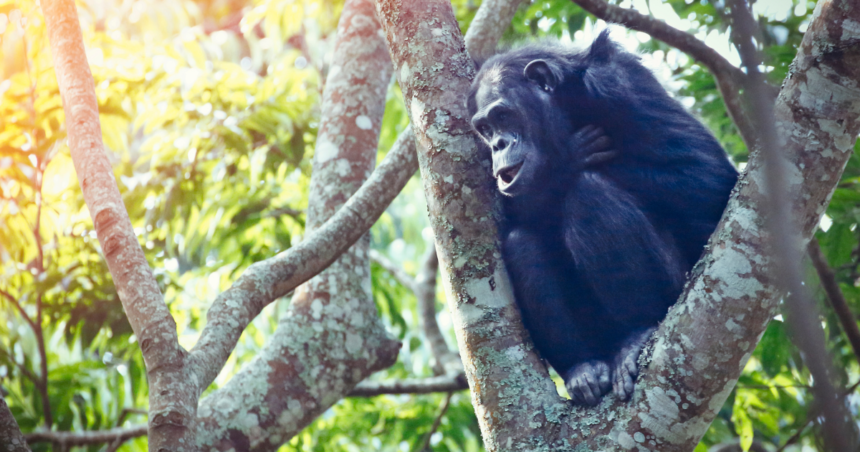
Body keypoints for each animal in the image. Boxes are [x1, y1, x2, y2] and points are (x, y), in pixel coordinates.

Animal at [466, 31, 736, 406]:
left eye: (503, 115)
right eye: (485, 128)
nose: (499, 144)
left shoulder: (620, 87)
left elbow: (708, 176)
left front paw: (559, 164)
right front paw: (561, 164)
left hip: (676, 290)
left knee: (589, 193)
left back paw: (636, 335)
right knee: (522, 244)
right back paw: (583, 368)